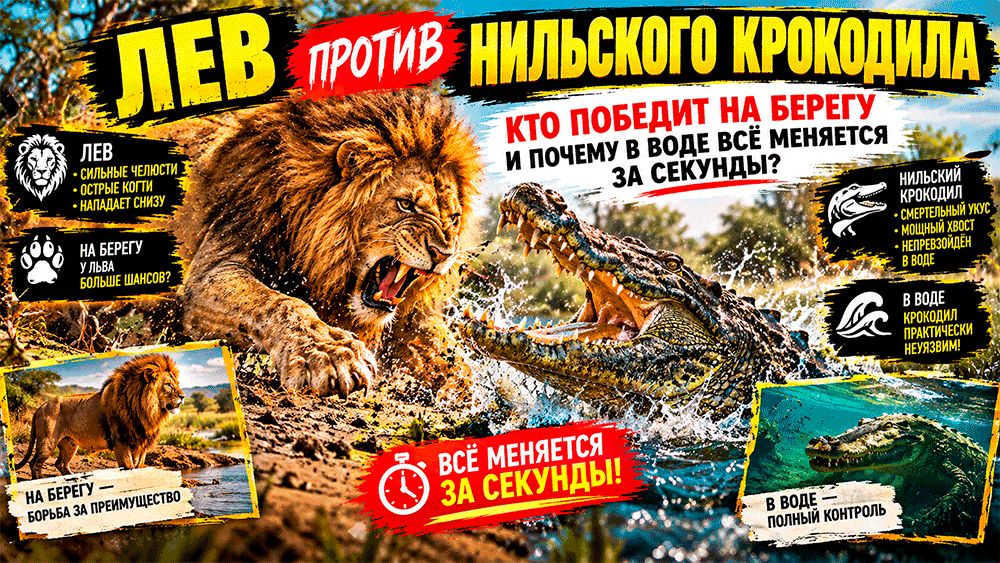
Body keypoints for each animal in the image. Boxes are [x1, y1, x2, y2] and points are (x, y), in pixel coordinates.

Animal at [15, 354, 185, 479]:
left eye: (176, 384)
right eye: (169, 385)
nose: (183, 396)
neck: (147, 410)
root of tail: (40, 407)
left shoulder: (140, 442)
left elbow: (137, 465)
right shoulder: (120, 440)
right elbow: (128, 466)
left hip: (69, 443)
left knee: (60, 464)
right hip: (47, 441)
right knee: (35, 463)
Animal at [163, 89, 482, 399]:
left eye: (454, 217)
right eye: (405, 204)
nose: (443, 254)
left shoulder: (410, 320)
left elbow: (450, 355)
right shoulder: (214, 270)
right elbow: (281, 304)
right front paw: (330, 353)